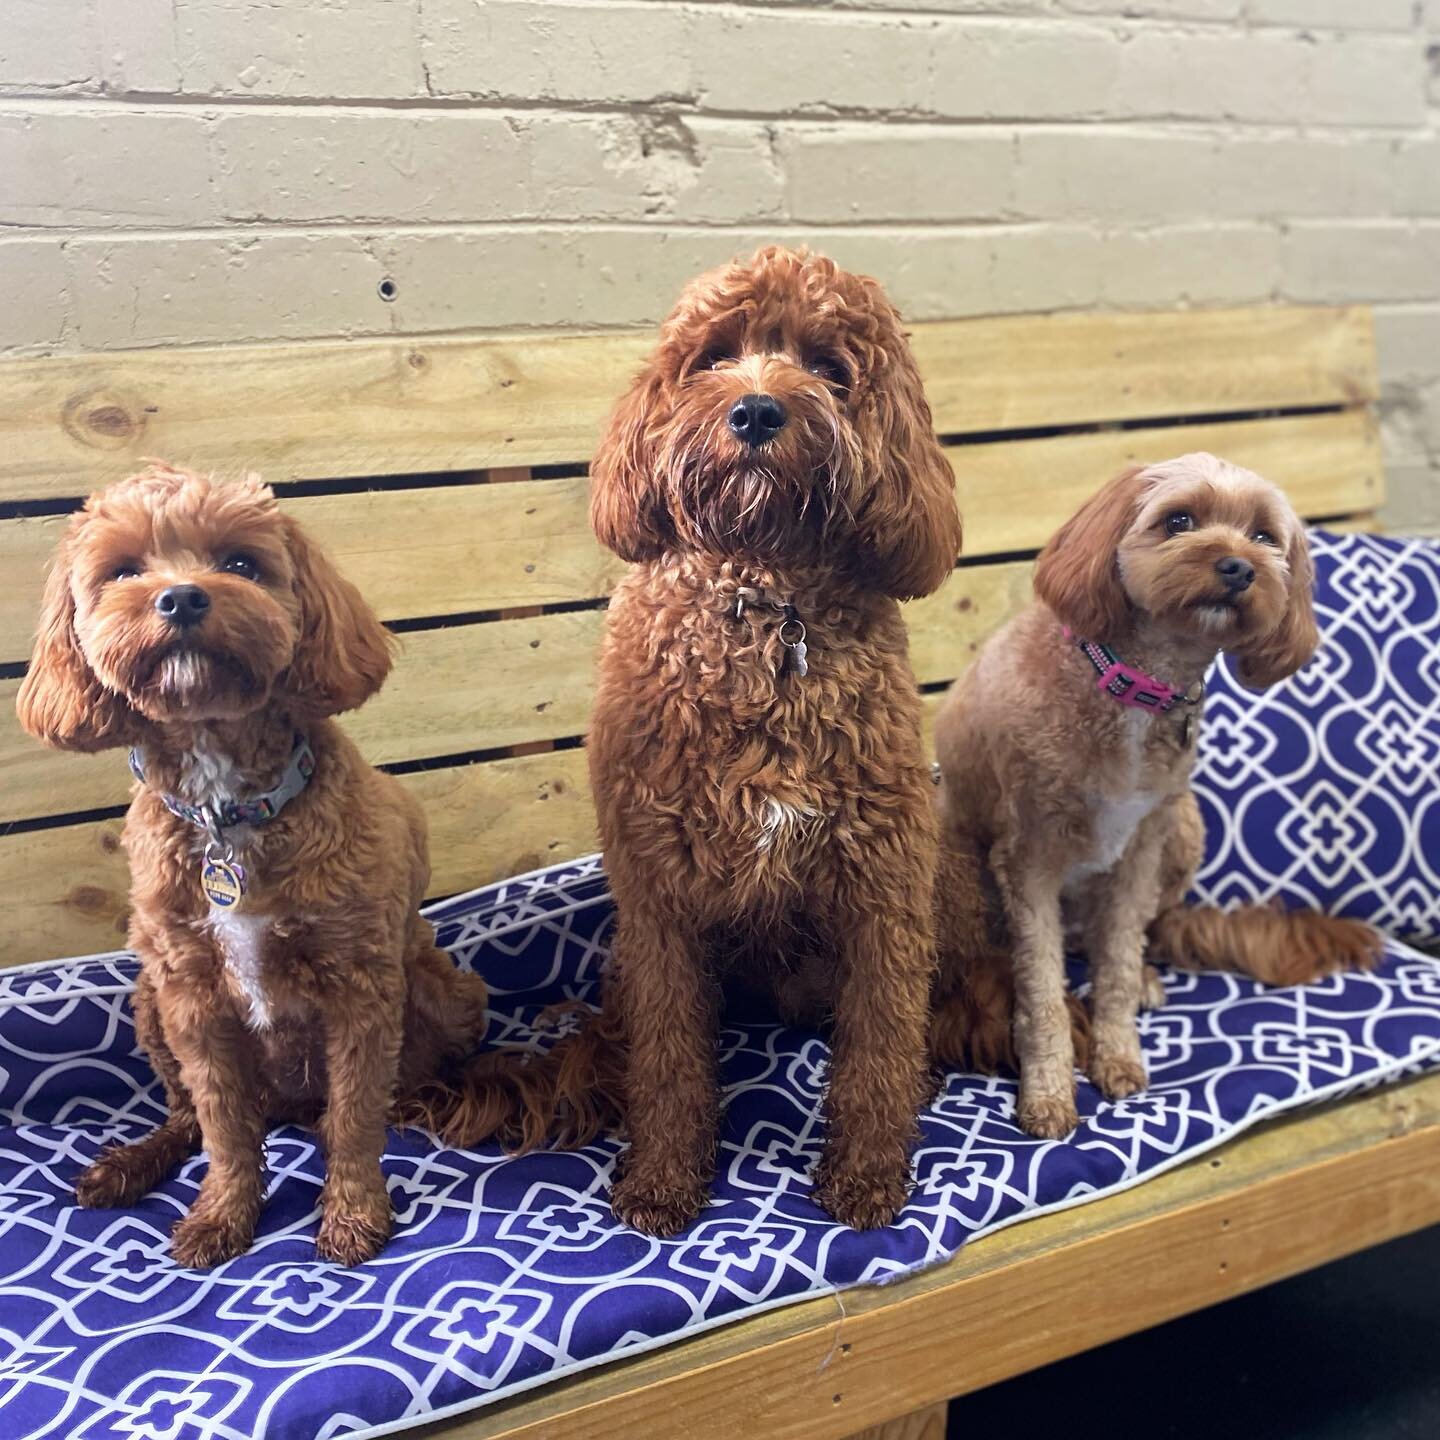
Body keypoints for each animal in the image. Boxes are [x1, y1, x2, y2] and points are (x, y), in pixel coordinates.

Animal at [15, 466, 495, 1267]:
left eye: (241, 562)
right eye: (124, 571)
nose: (181, 597)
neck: (228, 812)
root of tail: (289, 1105)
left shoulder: (359, 986)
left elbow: (357, 1113)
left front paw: (353, 1214)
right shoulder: (193, 1001)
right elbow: (223, 1128)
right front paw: (222, 1215)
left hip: (445, 992)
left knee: (362, 1097)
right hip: (147, 1003)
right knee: (188, 1118)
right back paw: (127, 1165)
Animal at [455, 241, 961, 1232]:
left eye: (829, 368)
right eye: (715, 354)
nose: (757, 409)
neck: (764, 606)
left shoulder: (884, 890)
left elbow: (879, 1048)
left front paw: (868, 1177)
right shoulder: (660, 904)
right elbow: (670, 1063)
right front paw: (662, 1182)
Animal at [927, 449, 1376, 1134]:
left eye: (1265, 536)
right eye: (1179, 519)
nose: (1238, 566)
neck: (1134, 685)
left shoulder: (1142, 846)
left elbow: (1114, 963)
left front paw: (1117, 1056)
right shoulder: (1029, 857)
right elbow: (1041, 988)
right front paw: (1048, 1094)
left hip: (1186, 827)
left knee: (1130, 934)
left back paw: (1142, 975)